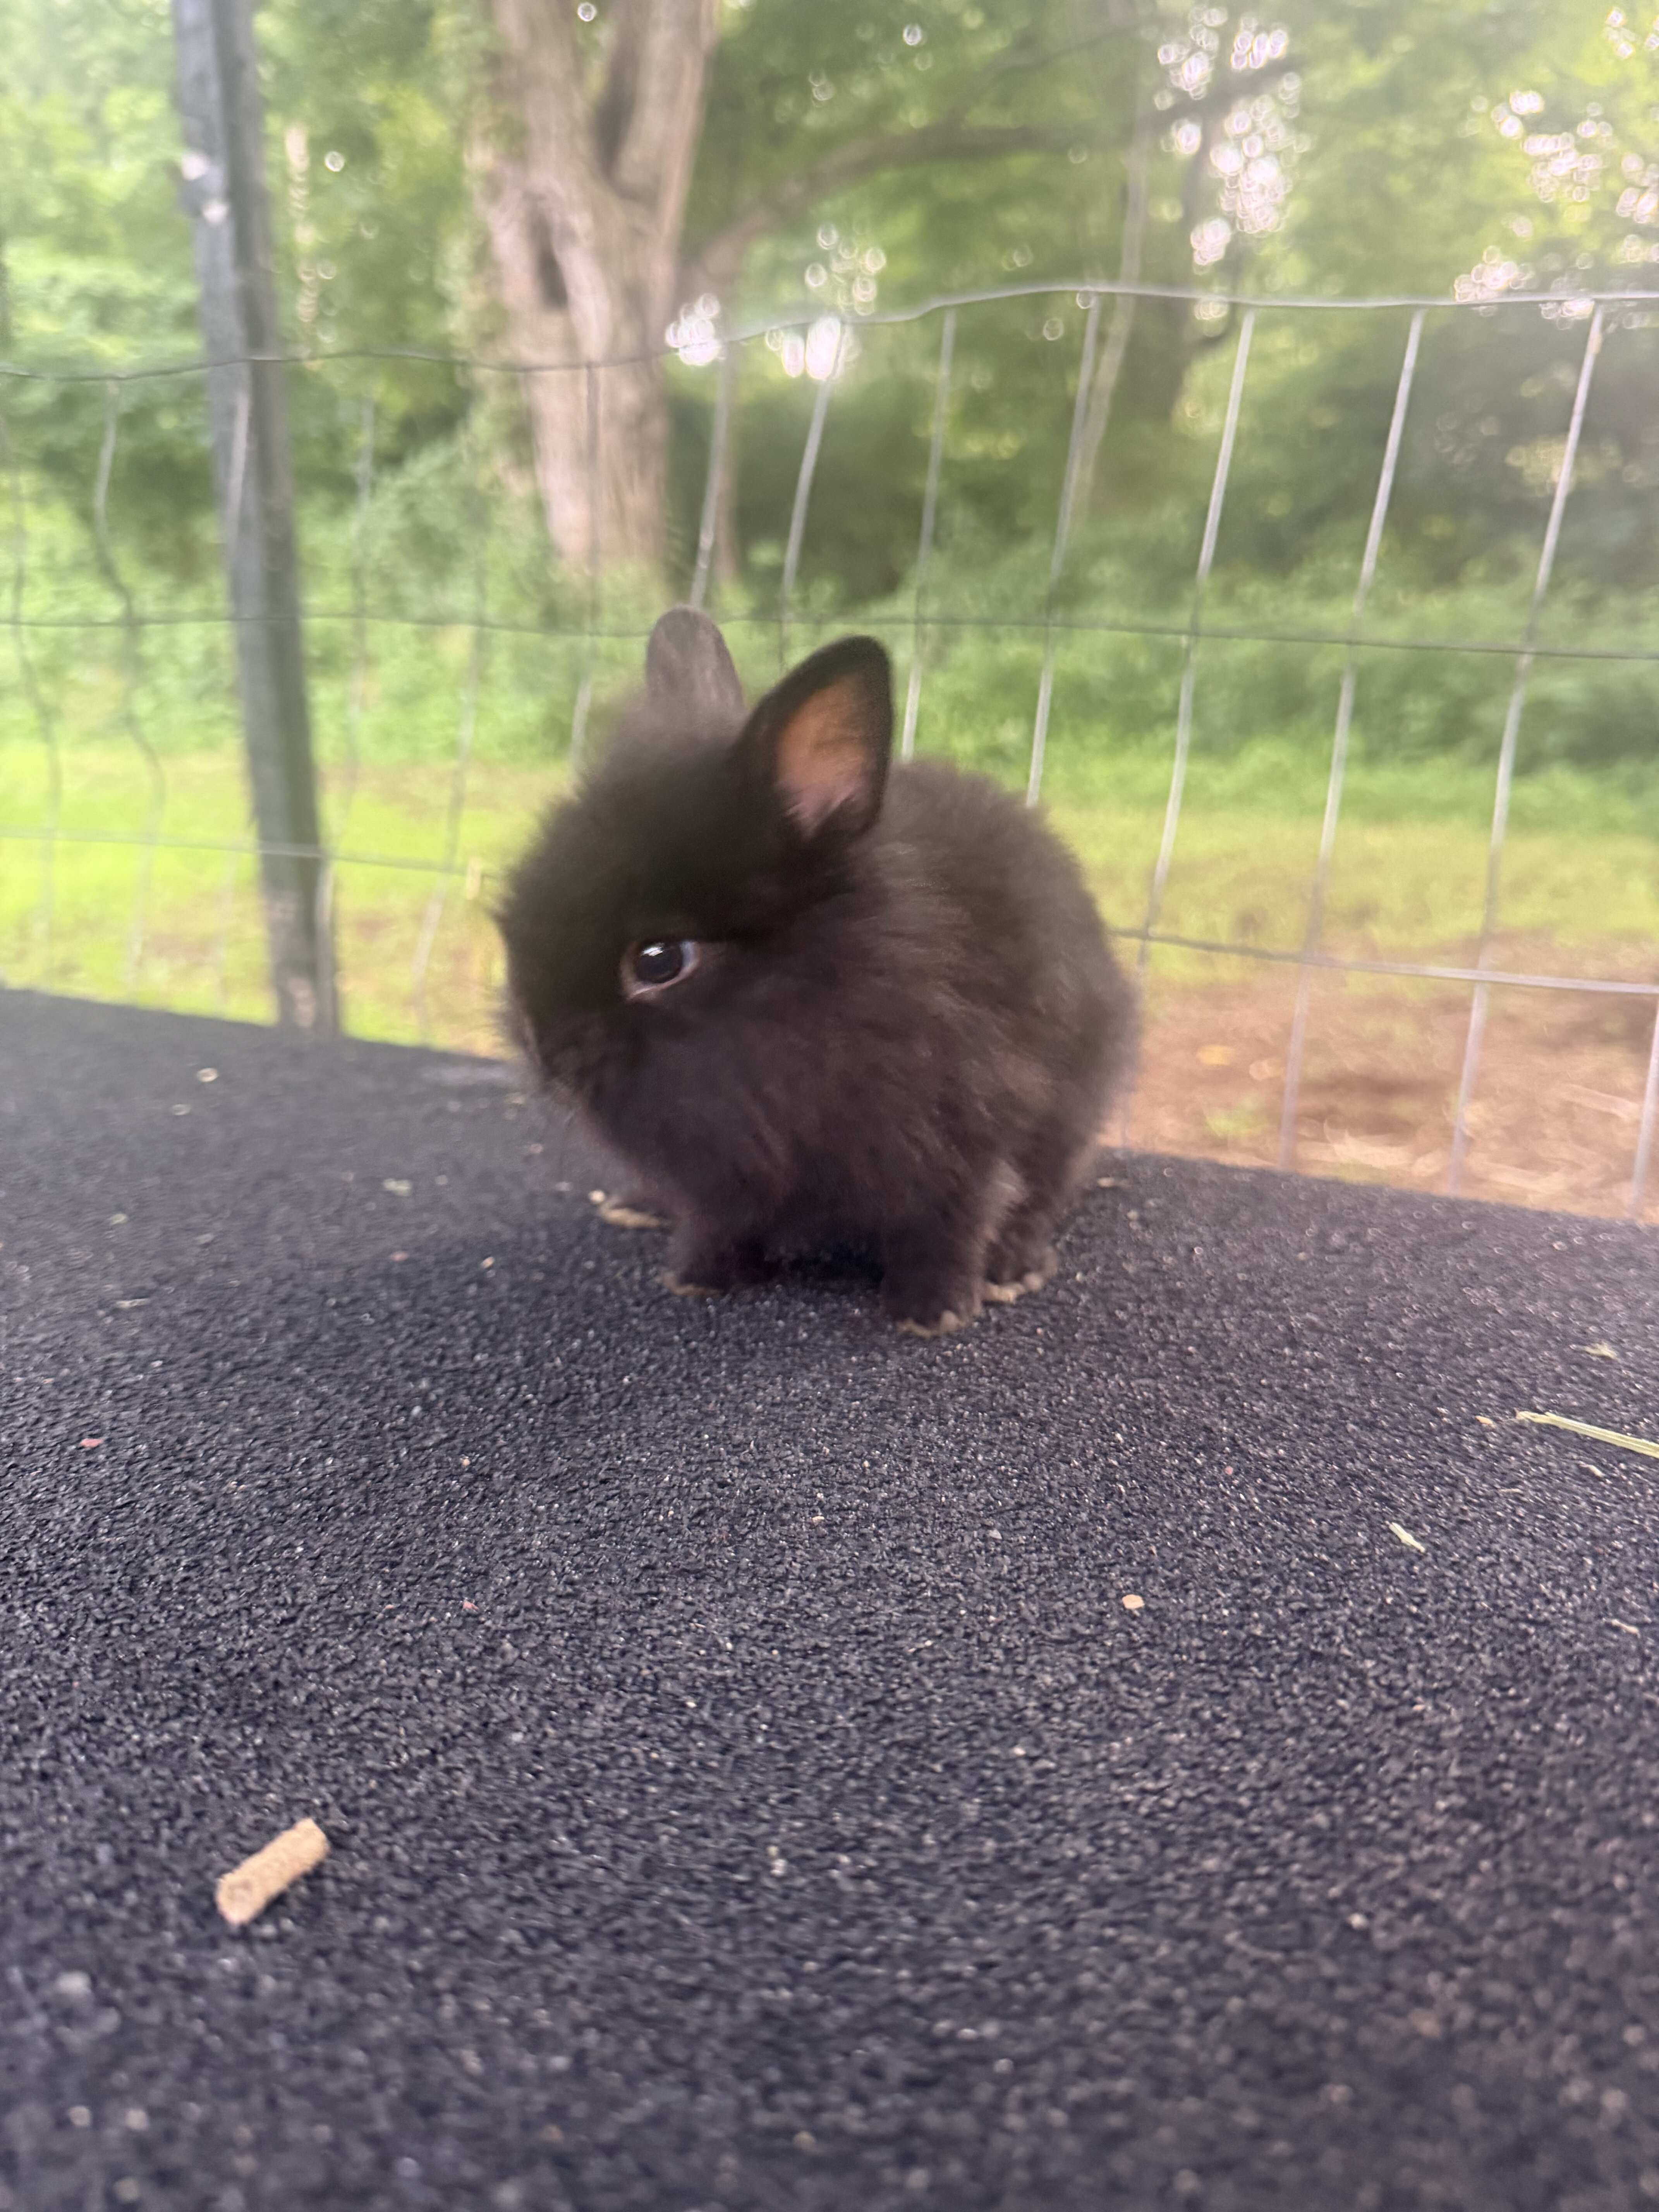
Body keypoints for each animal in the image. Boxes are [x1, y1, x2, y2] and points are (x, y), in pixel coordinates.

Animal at [497, 608, 1136, 1335]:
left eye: (659, 961)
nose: (545, 1049)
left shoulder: (967, 1138)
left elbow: (953, 1224)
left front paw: (932, 1311)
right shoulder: (722, 1179)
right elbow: (717, 1224)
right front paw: (698, 1276)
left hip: (1071, 1112)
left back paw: (1013, 1267)